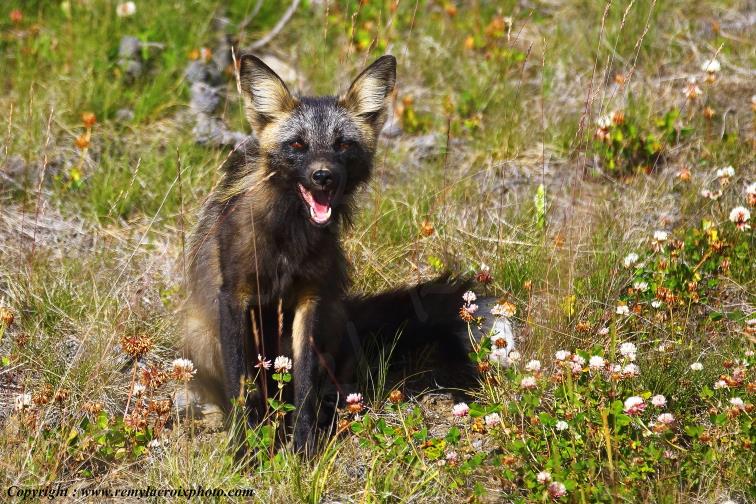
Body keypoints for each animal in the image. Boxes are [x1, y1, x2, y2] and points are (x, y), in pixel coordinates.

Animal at [183, 54, 511, 454]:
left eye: (341, 145)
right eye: (298, 145)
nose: (322, 176)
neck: (287, 236)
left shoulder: (310, 298)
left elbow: (305, 387)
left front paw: (303, 449)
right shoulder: (235, 295)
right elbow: (240, 387)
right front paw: (244, 452)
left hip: (328, 318)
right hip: (202, 336)